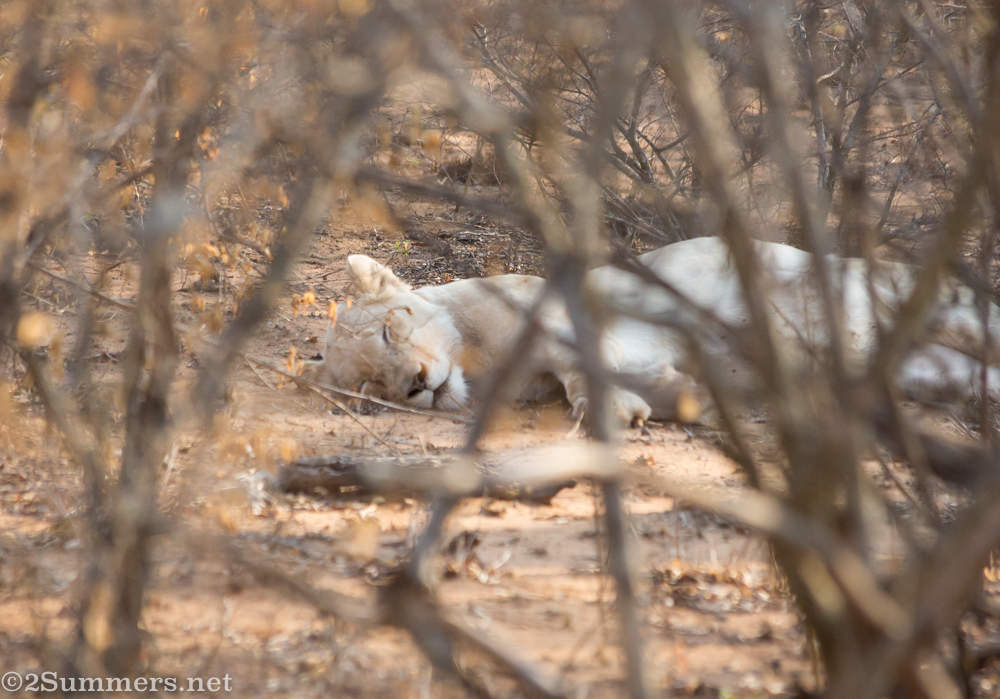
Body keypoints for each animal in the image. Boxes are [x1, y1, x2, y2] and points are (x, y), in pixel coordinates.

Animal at [320, 236, 1000, 426]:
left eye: (389, 333)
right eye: (372, 388)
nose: (415, 385)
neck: (478, 359)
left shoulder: (573, 303)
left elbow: (581, 351)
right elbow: (581, 379)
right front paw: (663, 400)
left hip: (928, 306)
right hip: (934, 370)